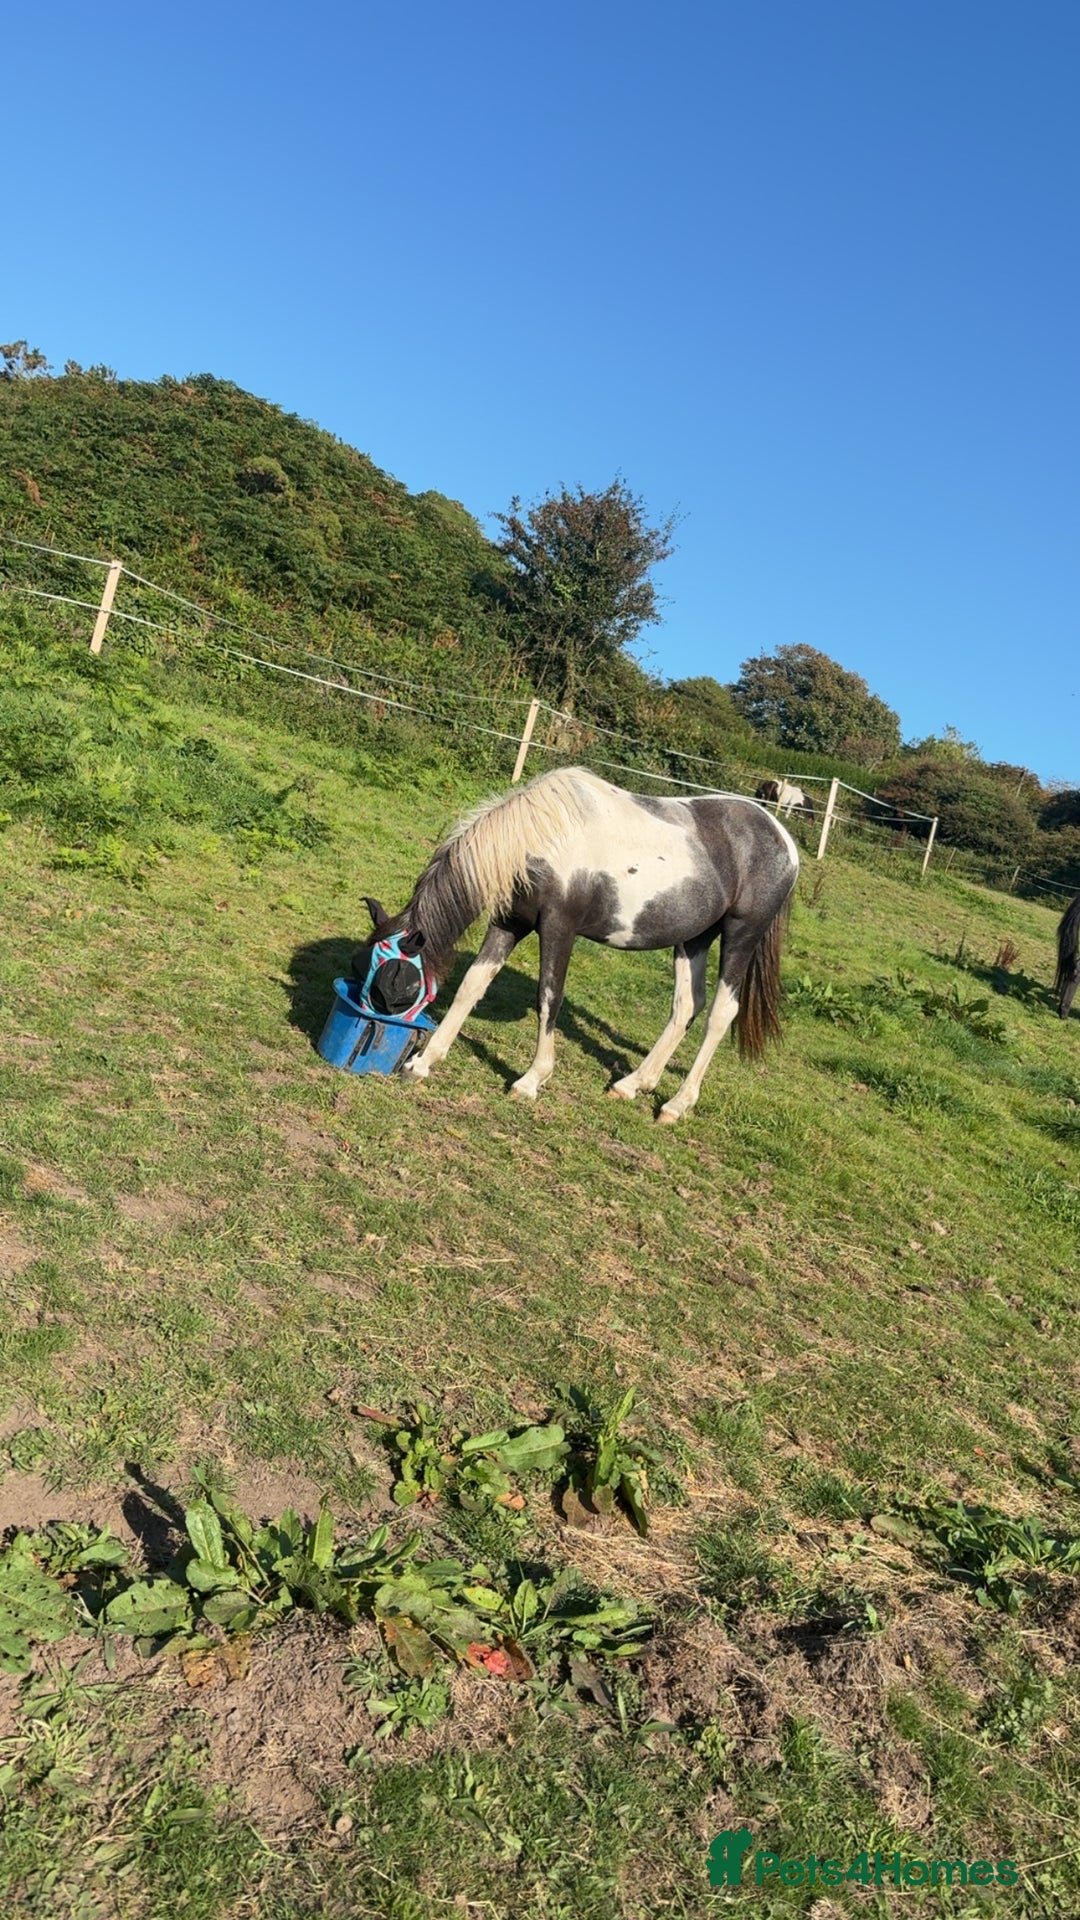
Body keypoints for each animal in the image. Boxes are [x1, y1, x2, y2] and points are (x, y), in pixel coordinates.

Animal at [354, 766, 799, 1124]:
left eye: (399, 983)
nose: (368, 1033)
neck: (541, 838)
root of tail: (783, 840)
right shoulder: (509, 922)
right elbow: (471, 986)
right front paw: (423, 1062)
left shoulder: (558, 928)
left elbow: (548, 998)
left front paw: (531, 1080)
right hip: (693, 938)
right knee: (687, 1005)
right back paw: (632, 1084)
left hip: (741, 934)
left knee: (721, 1013)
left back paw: (677, 1104)